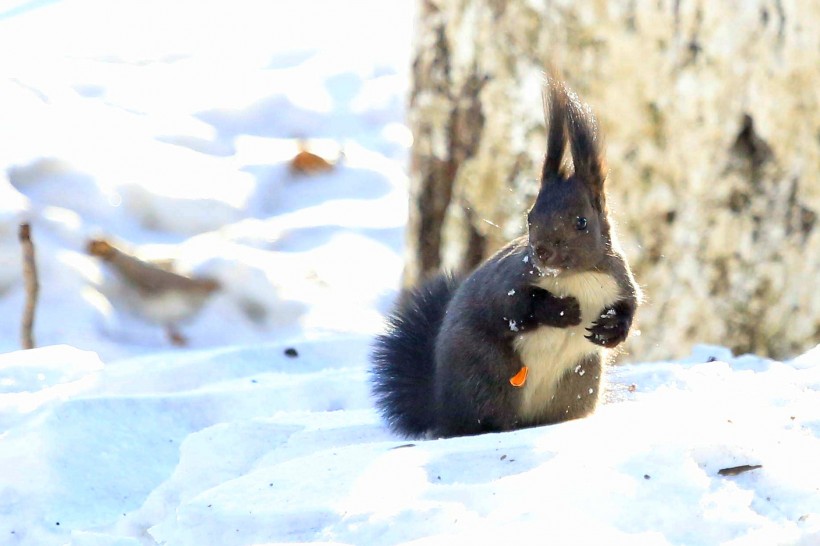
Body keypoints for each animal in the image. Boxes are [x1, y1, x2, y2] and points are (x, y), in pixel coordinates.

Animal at [370, 75, 640, 438]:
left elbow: (630, 308)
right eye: (530, 216)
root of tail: (442, 408)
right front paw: (561, 309)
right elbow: (512, 308)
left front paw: (610, 331)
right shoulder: (508, 281)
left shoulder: (619, 280)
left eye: (582, 222)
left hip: (579, 381)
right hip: (488, 376)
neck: (575, 276)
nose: (542, 252)